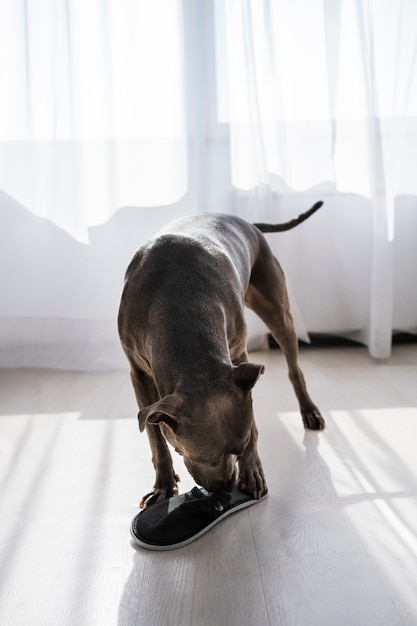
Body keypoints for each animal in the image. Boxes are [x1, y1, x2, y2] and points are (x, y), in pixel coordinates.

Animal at [118, 202, 324, 504]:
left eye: (240, 447)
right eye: (206, 458)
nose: (226, 488)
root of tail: (249, 224)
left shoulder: (238, 356)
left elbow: (253, 422)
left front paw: (251, 471)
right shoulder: (139, 375)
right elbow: (155, 437)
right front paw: (164, 486)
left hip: (276, 309)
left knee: (294, 367)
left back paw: (309, 410)